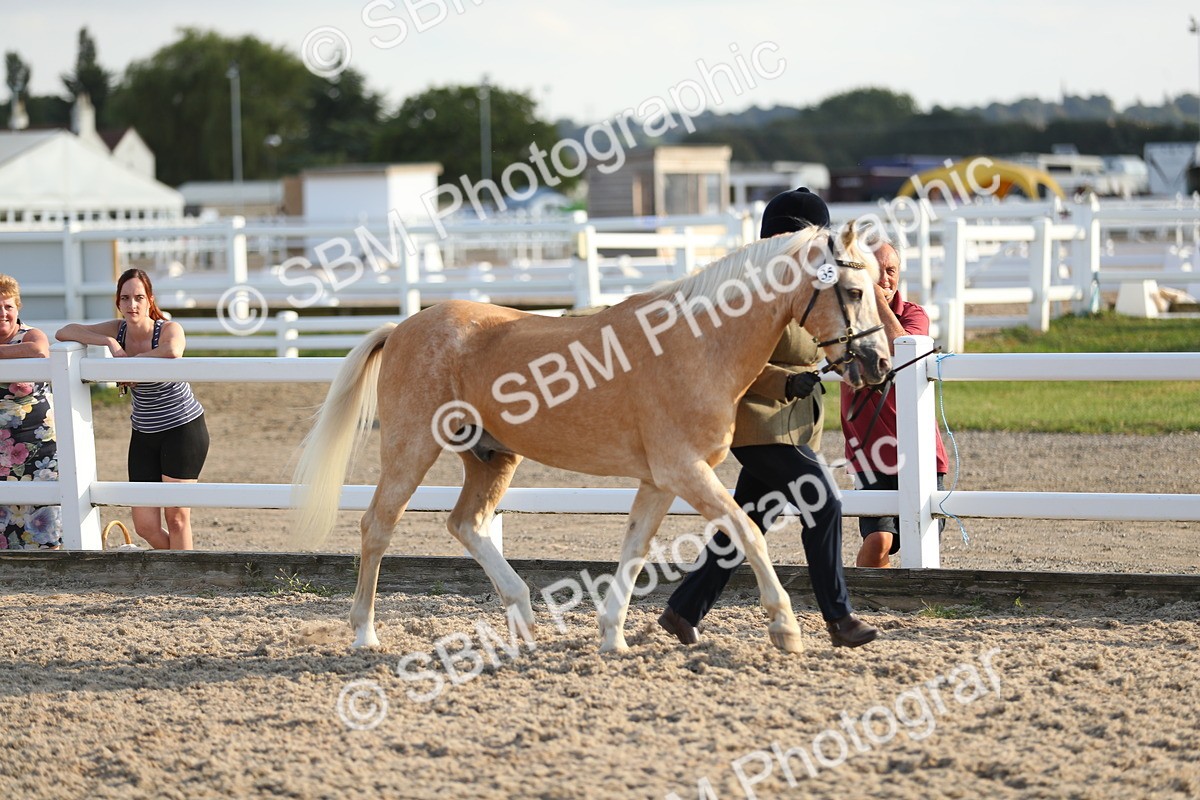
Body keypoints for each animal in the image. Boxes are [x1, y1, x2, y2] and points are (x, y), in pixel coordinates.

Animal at [292, 223, 891, 654]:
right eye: (853, 290)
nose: (878, 363)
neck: (697, 343)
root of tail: (403, 327)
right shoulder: (684, 470)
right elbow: (747, 532)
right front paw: (786, 629)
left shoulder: (661, 481)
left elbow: (635, 551)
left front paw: (613, 638)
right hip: (412, 448)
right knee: (378, 526)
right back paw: (365, 635)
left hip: (491, 458)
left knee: (466, 524)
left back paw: (524, 620)